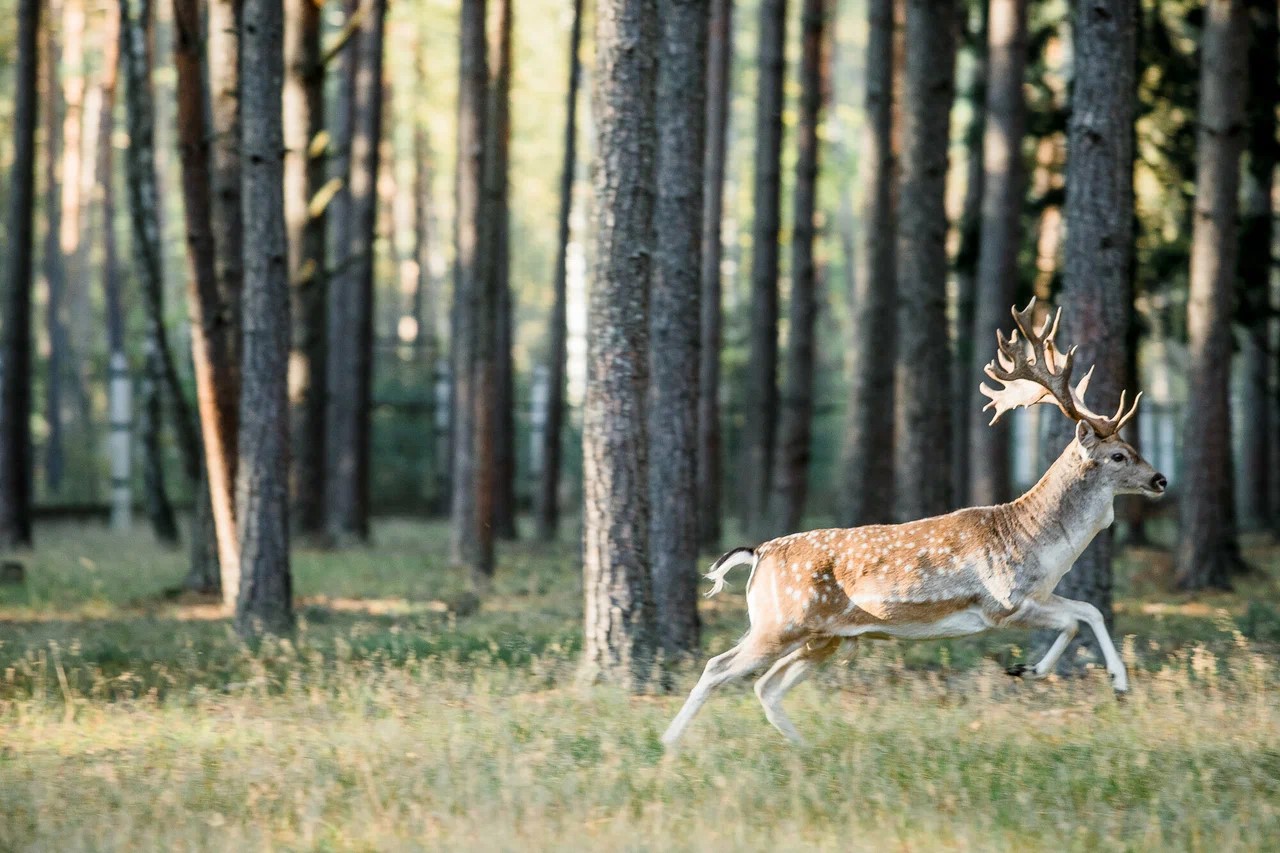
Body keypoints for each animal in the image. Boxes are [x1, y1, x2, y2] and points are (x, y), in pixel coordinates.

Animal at [665, 298, 1172, 742]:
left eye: (1133, 447)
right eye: (1118, 454)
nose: (1161, 479)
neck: (1037, 546)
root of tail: (759, 553)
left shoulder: (1035, 597)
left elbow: (1090, 610)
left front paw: (1112, 682)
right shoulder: (1003, 602)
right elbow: (1075, 619)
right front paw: (1031, 670)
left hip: (826, 638)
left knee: (766, 686)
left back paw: (803, 750)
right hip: (779, 623)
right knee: (718, 668)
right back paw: (669, 743)